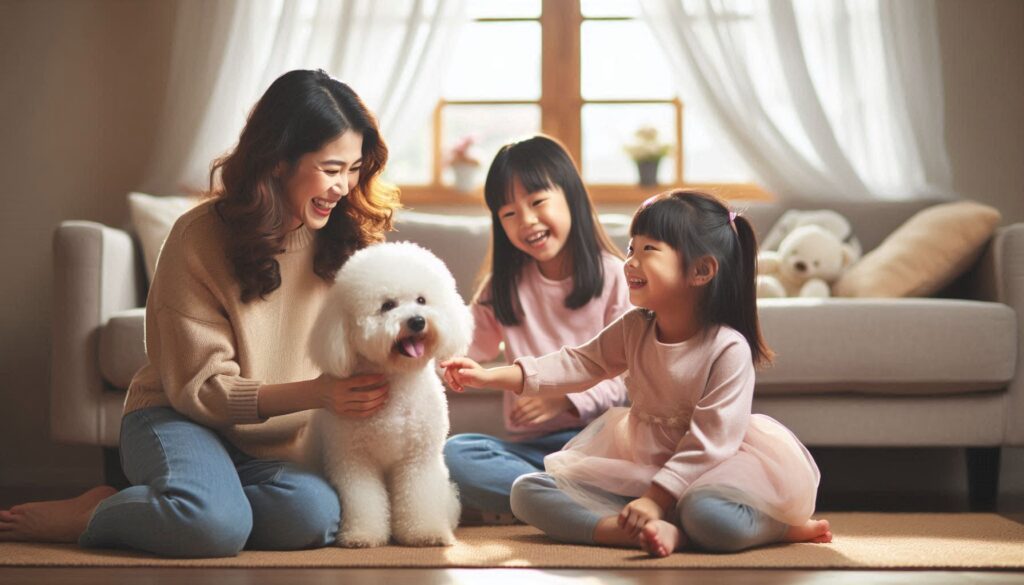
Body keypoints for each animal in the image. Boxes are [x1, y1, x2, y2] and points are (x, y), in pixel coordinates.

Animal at [307, 240, 471, 549]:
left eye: (421, 300)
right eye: (387, 306)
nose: (417, 321)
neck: (397, 381)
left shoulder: (418, 459)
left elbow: (419, 497)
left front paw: (425, 533)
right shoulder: (353, 460)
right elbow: (364, 501)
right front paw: (362, 535)